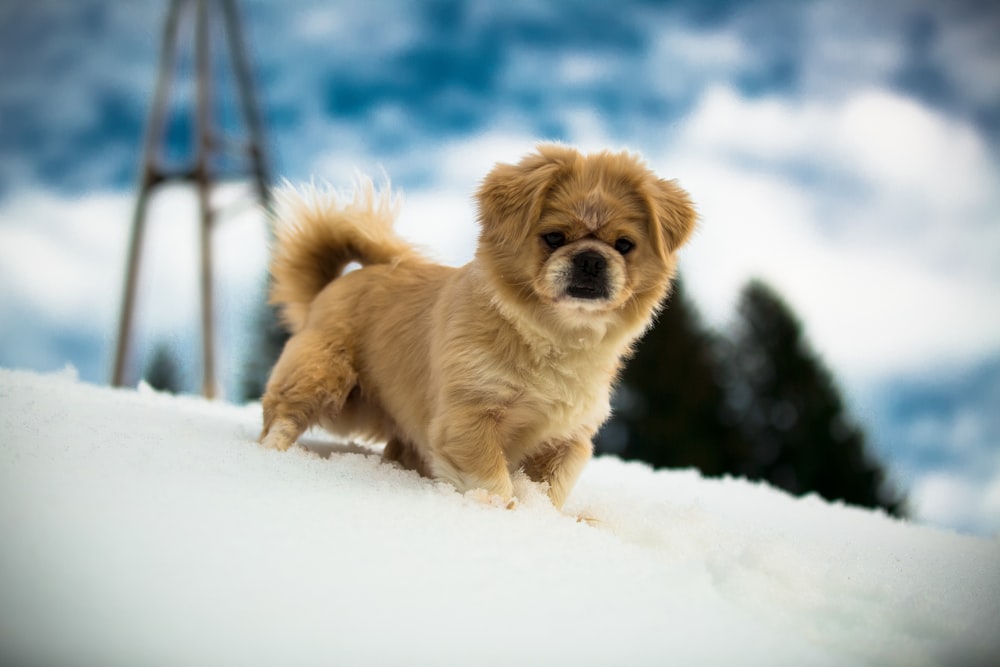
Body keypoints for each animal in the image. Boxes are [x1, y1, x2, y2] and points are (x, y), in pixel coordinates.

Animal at [258, 144, 696, 508]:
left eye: (624, 245)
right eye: (554, 237)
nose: (590, 258)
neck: (555, 335)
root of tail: (332, 285)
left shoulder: (566, 439)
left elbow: (549, 489)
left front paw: (540, 516)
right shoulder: (468, 416)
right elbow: (490, 479)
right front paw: (501, 512)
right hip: (325, 377)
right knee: (283, 416)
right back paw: (274, 456)